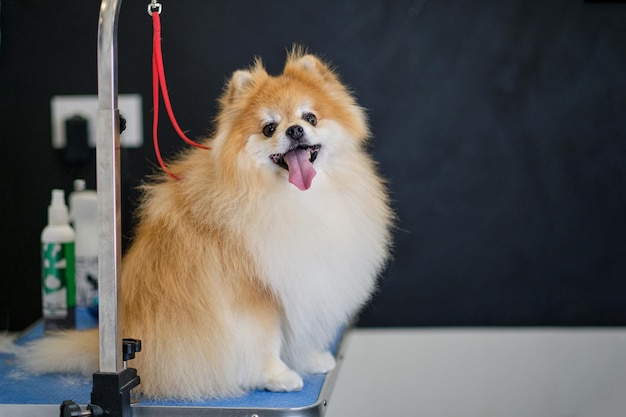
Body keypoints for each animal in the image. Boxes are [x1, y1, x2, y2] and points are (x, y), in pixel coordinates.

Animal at [22, 47, 392, 398]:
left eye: (310, 117)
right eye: (269, 128)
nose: (296, 130)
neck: (292, 198)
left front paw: (312, 358)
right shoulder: (252, 293)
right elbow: (265, 338)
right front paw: (277, 375)